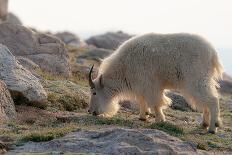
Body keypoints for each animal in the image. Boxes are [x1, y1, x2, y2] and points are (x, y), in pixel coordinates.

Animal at [87, 32, 223, 133]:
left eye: (94, 92)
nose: (90, 111)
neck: (123, 68)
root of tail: (213, 54)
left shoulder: (150, 85)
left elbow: (156, 102)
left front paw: (159, 119)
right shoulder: (142, 85)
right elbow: (142, 100)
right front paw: (143, 116)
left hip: (196, 80)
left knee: (212, 100)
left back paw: (212, 128)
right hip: (203, 80)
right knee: (207, 101)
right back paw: (204, 124)